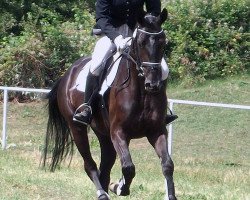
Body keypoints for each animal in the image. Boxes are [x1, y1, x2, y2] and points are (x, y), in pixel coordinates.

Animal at [42, 8, 176, 200]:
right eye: (141, 42)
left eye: (163, 42)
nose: (153, 84)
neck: (141, 91)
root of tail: (66, 75)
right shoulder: (118, 132)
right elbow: (128, 167)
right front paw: (120, 187)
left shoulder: (156, 131)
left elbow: (167, 165)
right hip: (77, 128)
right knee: (90, 165)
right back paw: (102, 193)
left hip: (103, 134)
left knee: (104, 169)